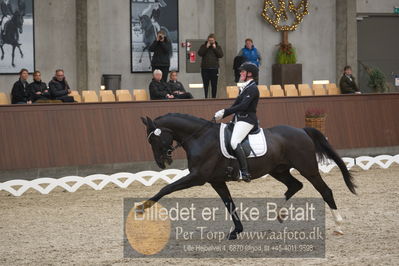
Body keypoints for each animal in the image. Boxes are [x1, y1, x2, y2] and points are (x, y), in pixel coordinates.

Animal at [139, 114, 358, 239]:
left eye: (154, 139)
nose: (161, 163)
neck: (200, 137)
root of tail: (302, 130)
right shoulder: (216, 181)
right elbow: (229, 203)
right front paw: (236, 231)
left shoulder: (198, 177)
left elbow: (167, 187)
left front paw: (142, 208)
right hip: (278, 170)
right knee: (295, 186)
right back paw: (279, 213)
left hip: (308, 169)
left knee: (325, 191)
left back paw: (338, 226)